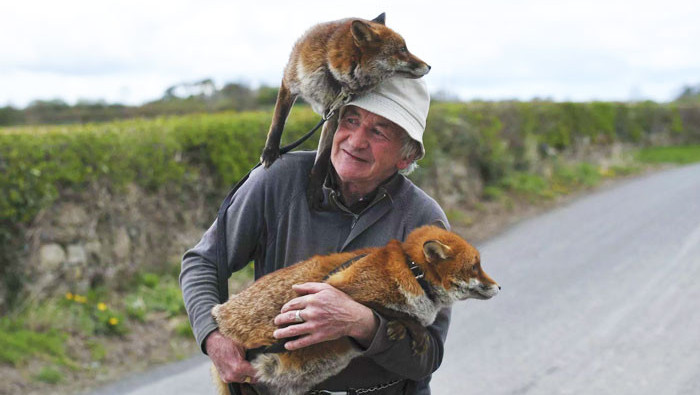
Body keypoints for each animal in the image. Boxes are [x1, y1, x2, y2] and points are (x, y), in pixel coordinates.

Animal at [211, 226, 500, 395]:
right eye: (475, 267)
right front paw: (409, 329)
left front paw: (400, 328)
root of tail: (220, 314)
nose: (499, 287)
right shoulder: (338, 290)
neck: (412, 272)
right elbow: (397, 313)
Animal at [260, 13, 430, 207]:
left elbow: (323, 156)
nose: (429, 66)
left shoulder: (334, 113)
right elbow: (277, 122)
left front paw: (314, 188)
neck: (332, 74)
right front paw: (270, 151)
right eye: (402, 49)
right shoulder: (289, 83)